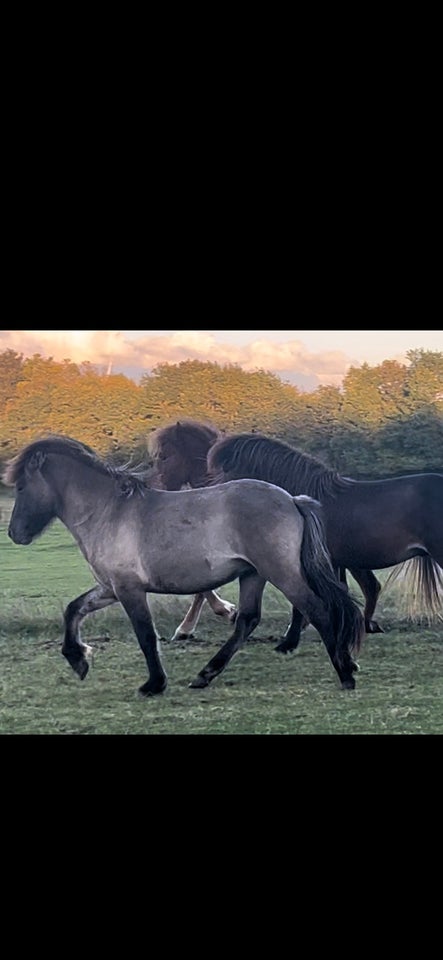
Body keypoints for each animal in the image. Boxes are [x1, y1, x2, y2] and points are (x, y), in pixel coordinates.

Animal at [2, 434, 364, 688]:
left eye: (20, 486)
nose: (15, 533)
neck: (109, 512)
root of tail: (292, 499)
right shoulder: (110, 587)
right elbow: (73, 609)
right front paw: (78, 659)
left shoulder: (129, 589)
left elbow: (145, 635)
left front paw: (154, 684)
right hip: (253, 574)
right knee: (247, 620)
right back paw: (205, 675)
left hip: (281, 572)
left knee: (317, 610)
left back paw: (346, 673)